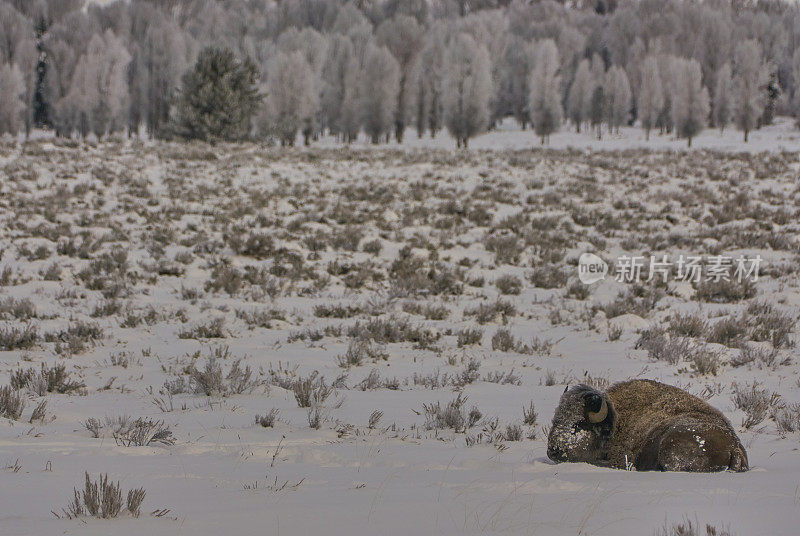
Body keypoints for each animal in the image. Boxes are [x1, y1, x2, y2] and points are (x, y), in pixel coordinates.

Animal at [548, 378, 748, 472]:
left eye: (579, 424)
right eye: (555, 419)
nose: (553, 451)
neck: (616, 422)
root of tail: (734, 446)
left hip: (670, 447)